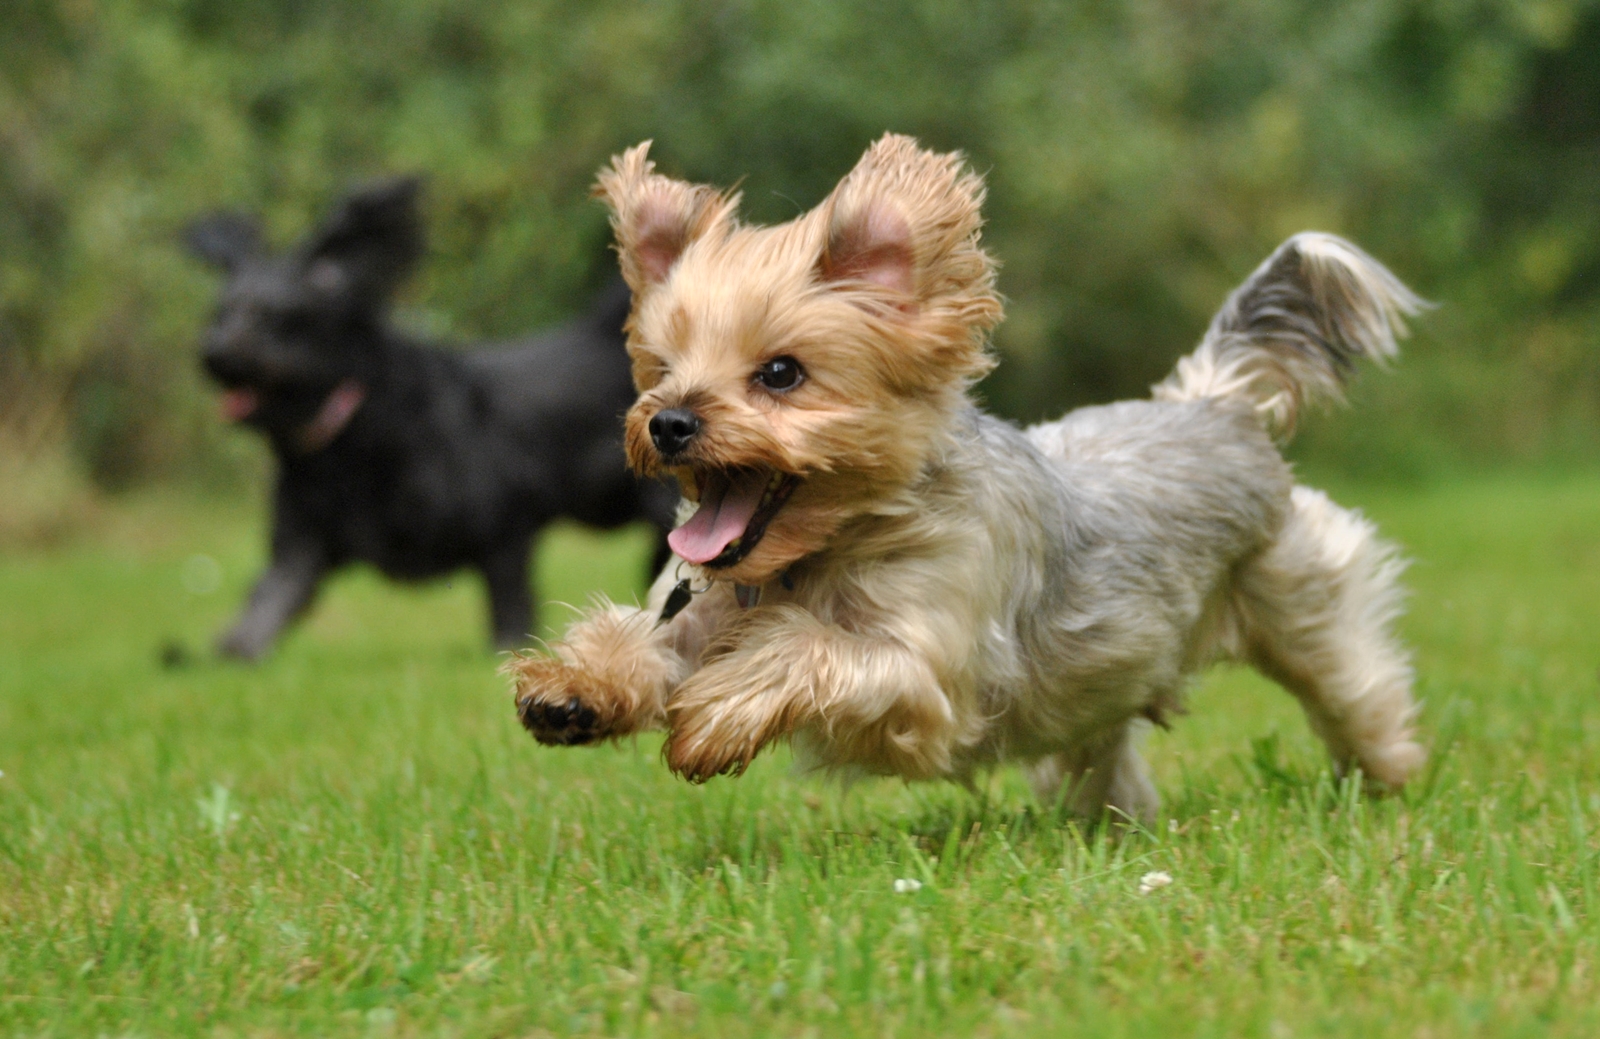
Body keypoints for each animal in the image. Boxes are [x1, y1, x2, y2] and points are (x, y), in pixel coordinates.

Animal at [187, 179, 675, 659]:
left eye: (273, 316)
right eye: (220, 313)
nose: (213, 352)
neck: (354, 430)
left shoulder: (503, 527)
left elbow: (509, 611)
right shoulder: (301, 542)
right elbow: (265, 605)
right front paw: (228, 650)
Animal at [508, 132, 1427, 819]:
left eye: (780, 373)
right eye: (660, 369)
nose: (667, 423)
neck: (824, 552)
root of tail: (1213, 400)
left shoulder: (929, 685)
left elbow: (811, 648)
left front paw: (719, 714)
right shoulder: (701, 610)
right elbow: (652, 639)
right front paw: (575, 689)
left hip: (1303, 597)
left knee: (1356, 691)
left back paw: (1390, 779)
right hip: (1107, 675)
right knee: (1102, 750)